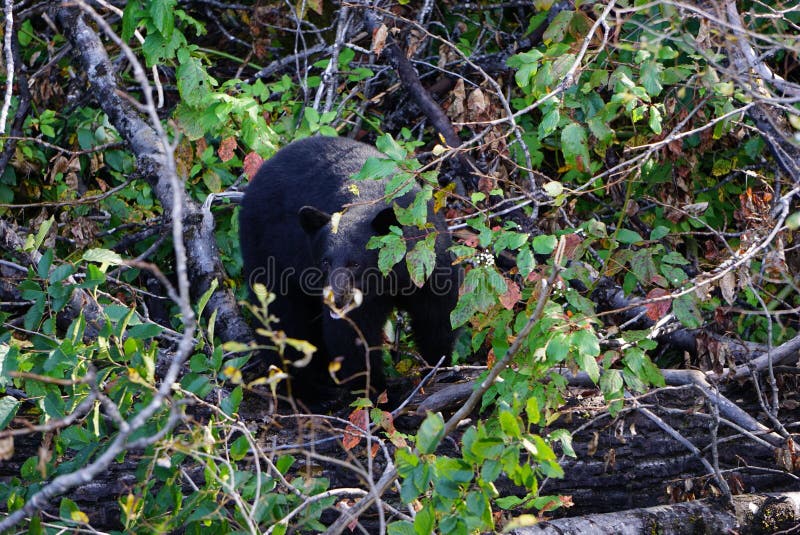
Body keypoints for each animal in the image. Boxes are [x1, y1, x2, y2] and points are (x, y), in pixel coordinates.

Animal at [239, 136, 460, 401]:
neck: (390, 279)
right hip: (268, 253)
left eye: (355, 263)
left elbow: (437, 316)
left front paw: (439, 366)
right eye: (325, 261)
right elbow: (351, 337)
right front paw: (377, 391)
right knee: (283, 319)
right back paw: (309, 392)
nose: (335, 300)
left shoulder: (428, 263)